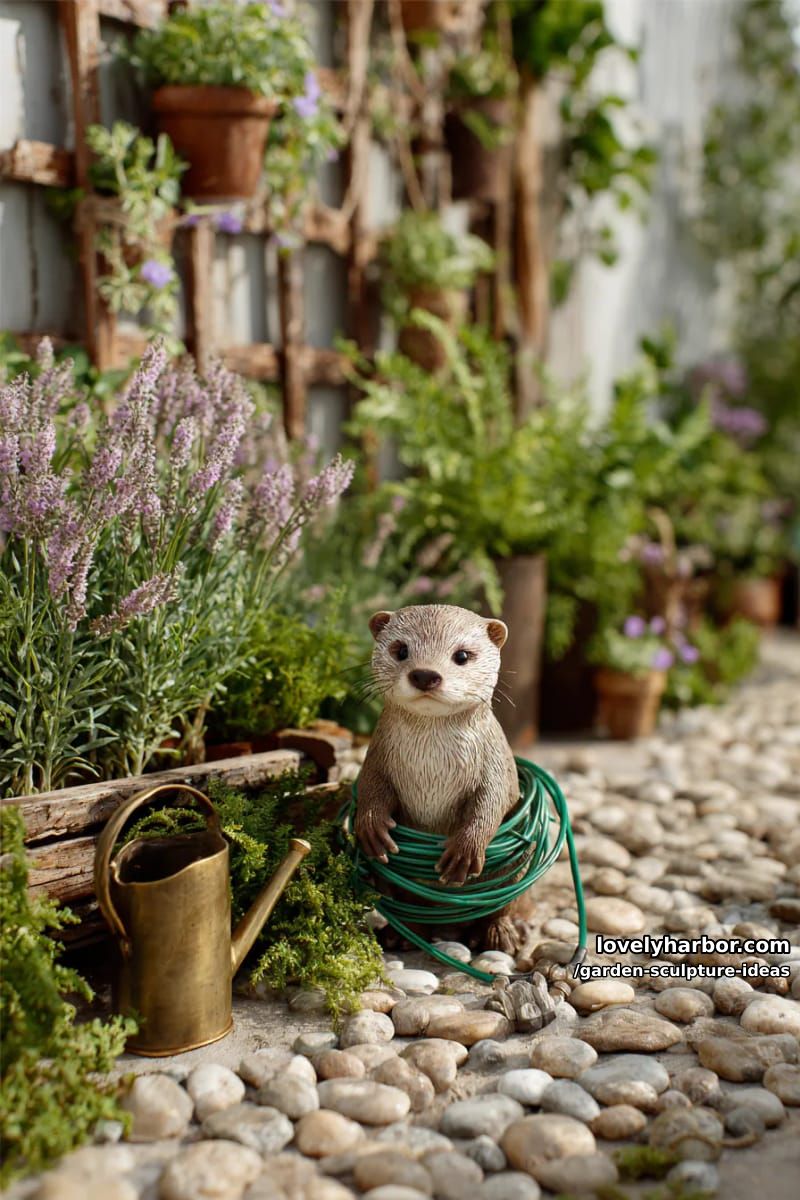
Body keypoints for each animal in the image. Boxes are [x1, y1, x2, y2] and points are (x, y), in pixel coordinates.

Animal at [355, 604, 530, 954]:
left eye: (462, 655)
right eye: (401, 650)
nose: (425, 674)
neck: (432, 765)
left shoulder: (497, 766)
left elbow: (491, 803)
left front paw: (465, 851)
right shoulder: (376, 758)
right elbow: (370, 788)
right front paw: (371, 828)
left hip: (517, 869)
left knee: (503, 906)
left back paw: (498, 936)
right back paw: (403, 935)